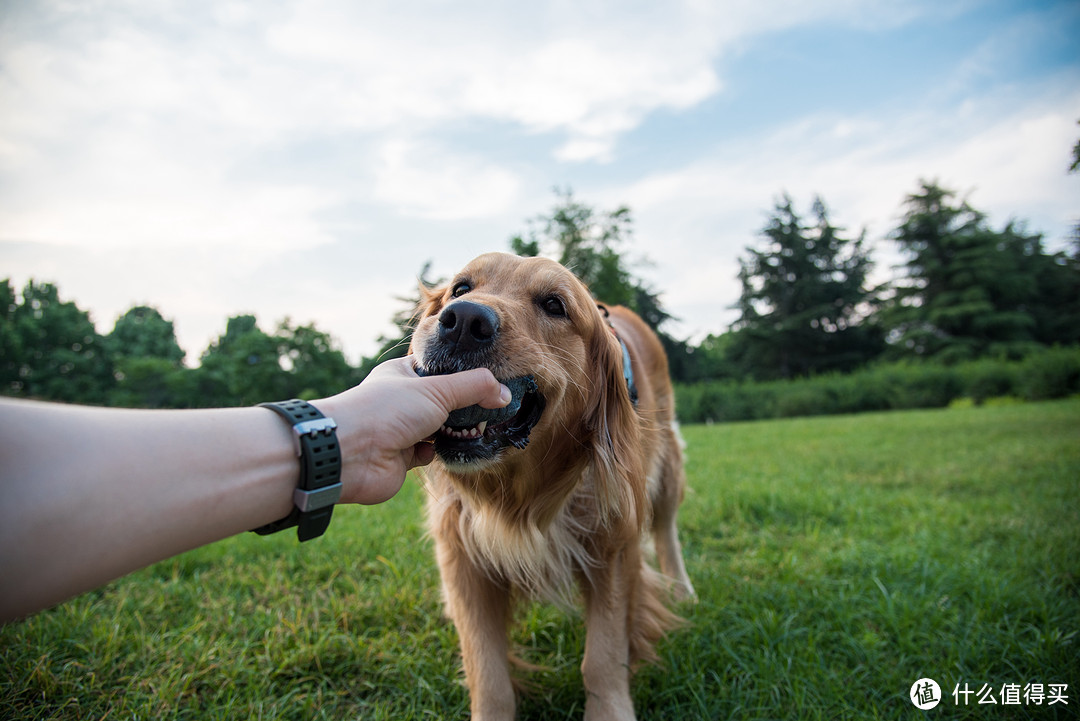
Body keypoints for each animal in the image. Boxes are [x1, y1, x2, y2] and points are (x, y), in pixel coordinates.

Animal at [408, 253, 695, 721]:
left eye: (554, 305)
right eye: (460, 289)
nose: (463, 321)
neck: (520, 490)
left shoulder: (612, 544)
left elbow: (603, 657)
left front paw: (609, 711)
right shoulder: (461, 554)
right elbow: (487, 672)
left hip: (666, 464)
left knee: (667, 529)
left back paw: (683, 590)